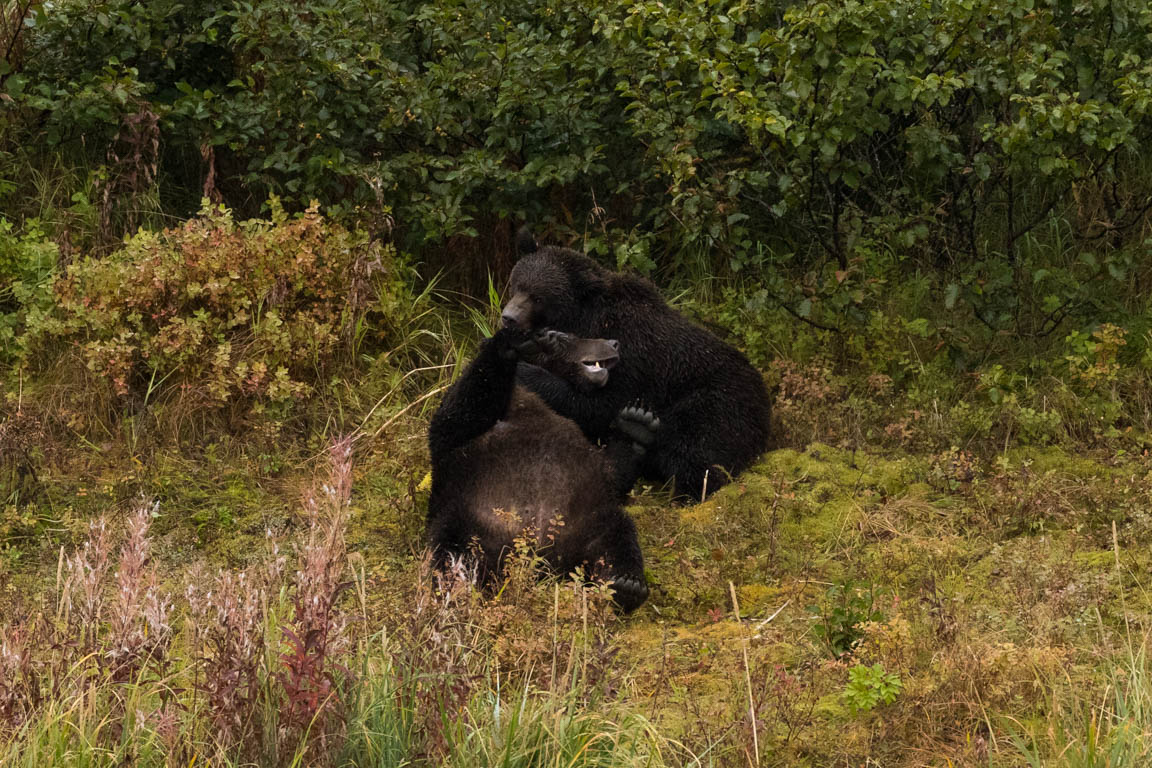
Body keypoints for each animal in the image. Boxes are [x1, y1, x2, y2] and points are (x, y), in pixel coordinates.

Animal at [426, 324, 658, 612]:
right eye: (565, 336)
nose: (614, 342)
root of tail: (540, 558)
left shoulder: (585, 454)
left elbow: (613, 471)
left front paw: (637, 424)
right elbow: (455, 418)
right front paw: (508, 341)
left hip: (588, 518)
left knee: (618, 535)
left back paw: (625, 584)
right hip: (471, 515)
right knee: (449, 543)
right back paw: (456, 583)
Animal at [499, 227, 769, 502]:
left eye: (538, 297)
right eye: (517, 285)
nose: (508, 317)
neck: (583, 319)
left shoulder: (631, 354)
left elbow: (597, 405)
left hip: (715, 401)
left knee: (696, 450)